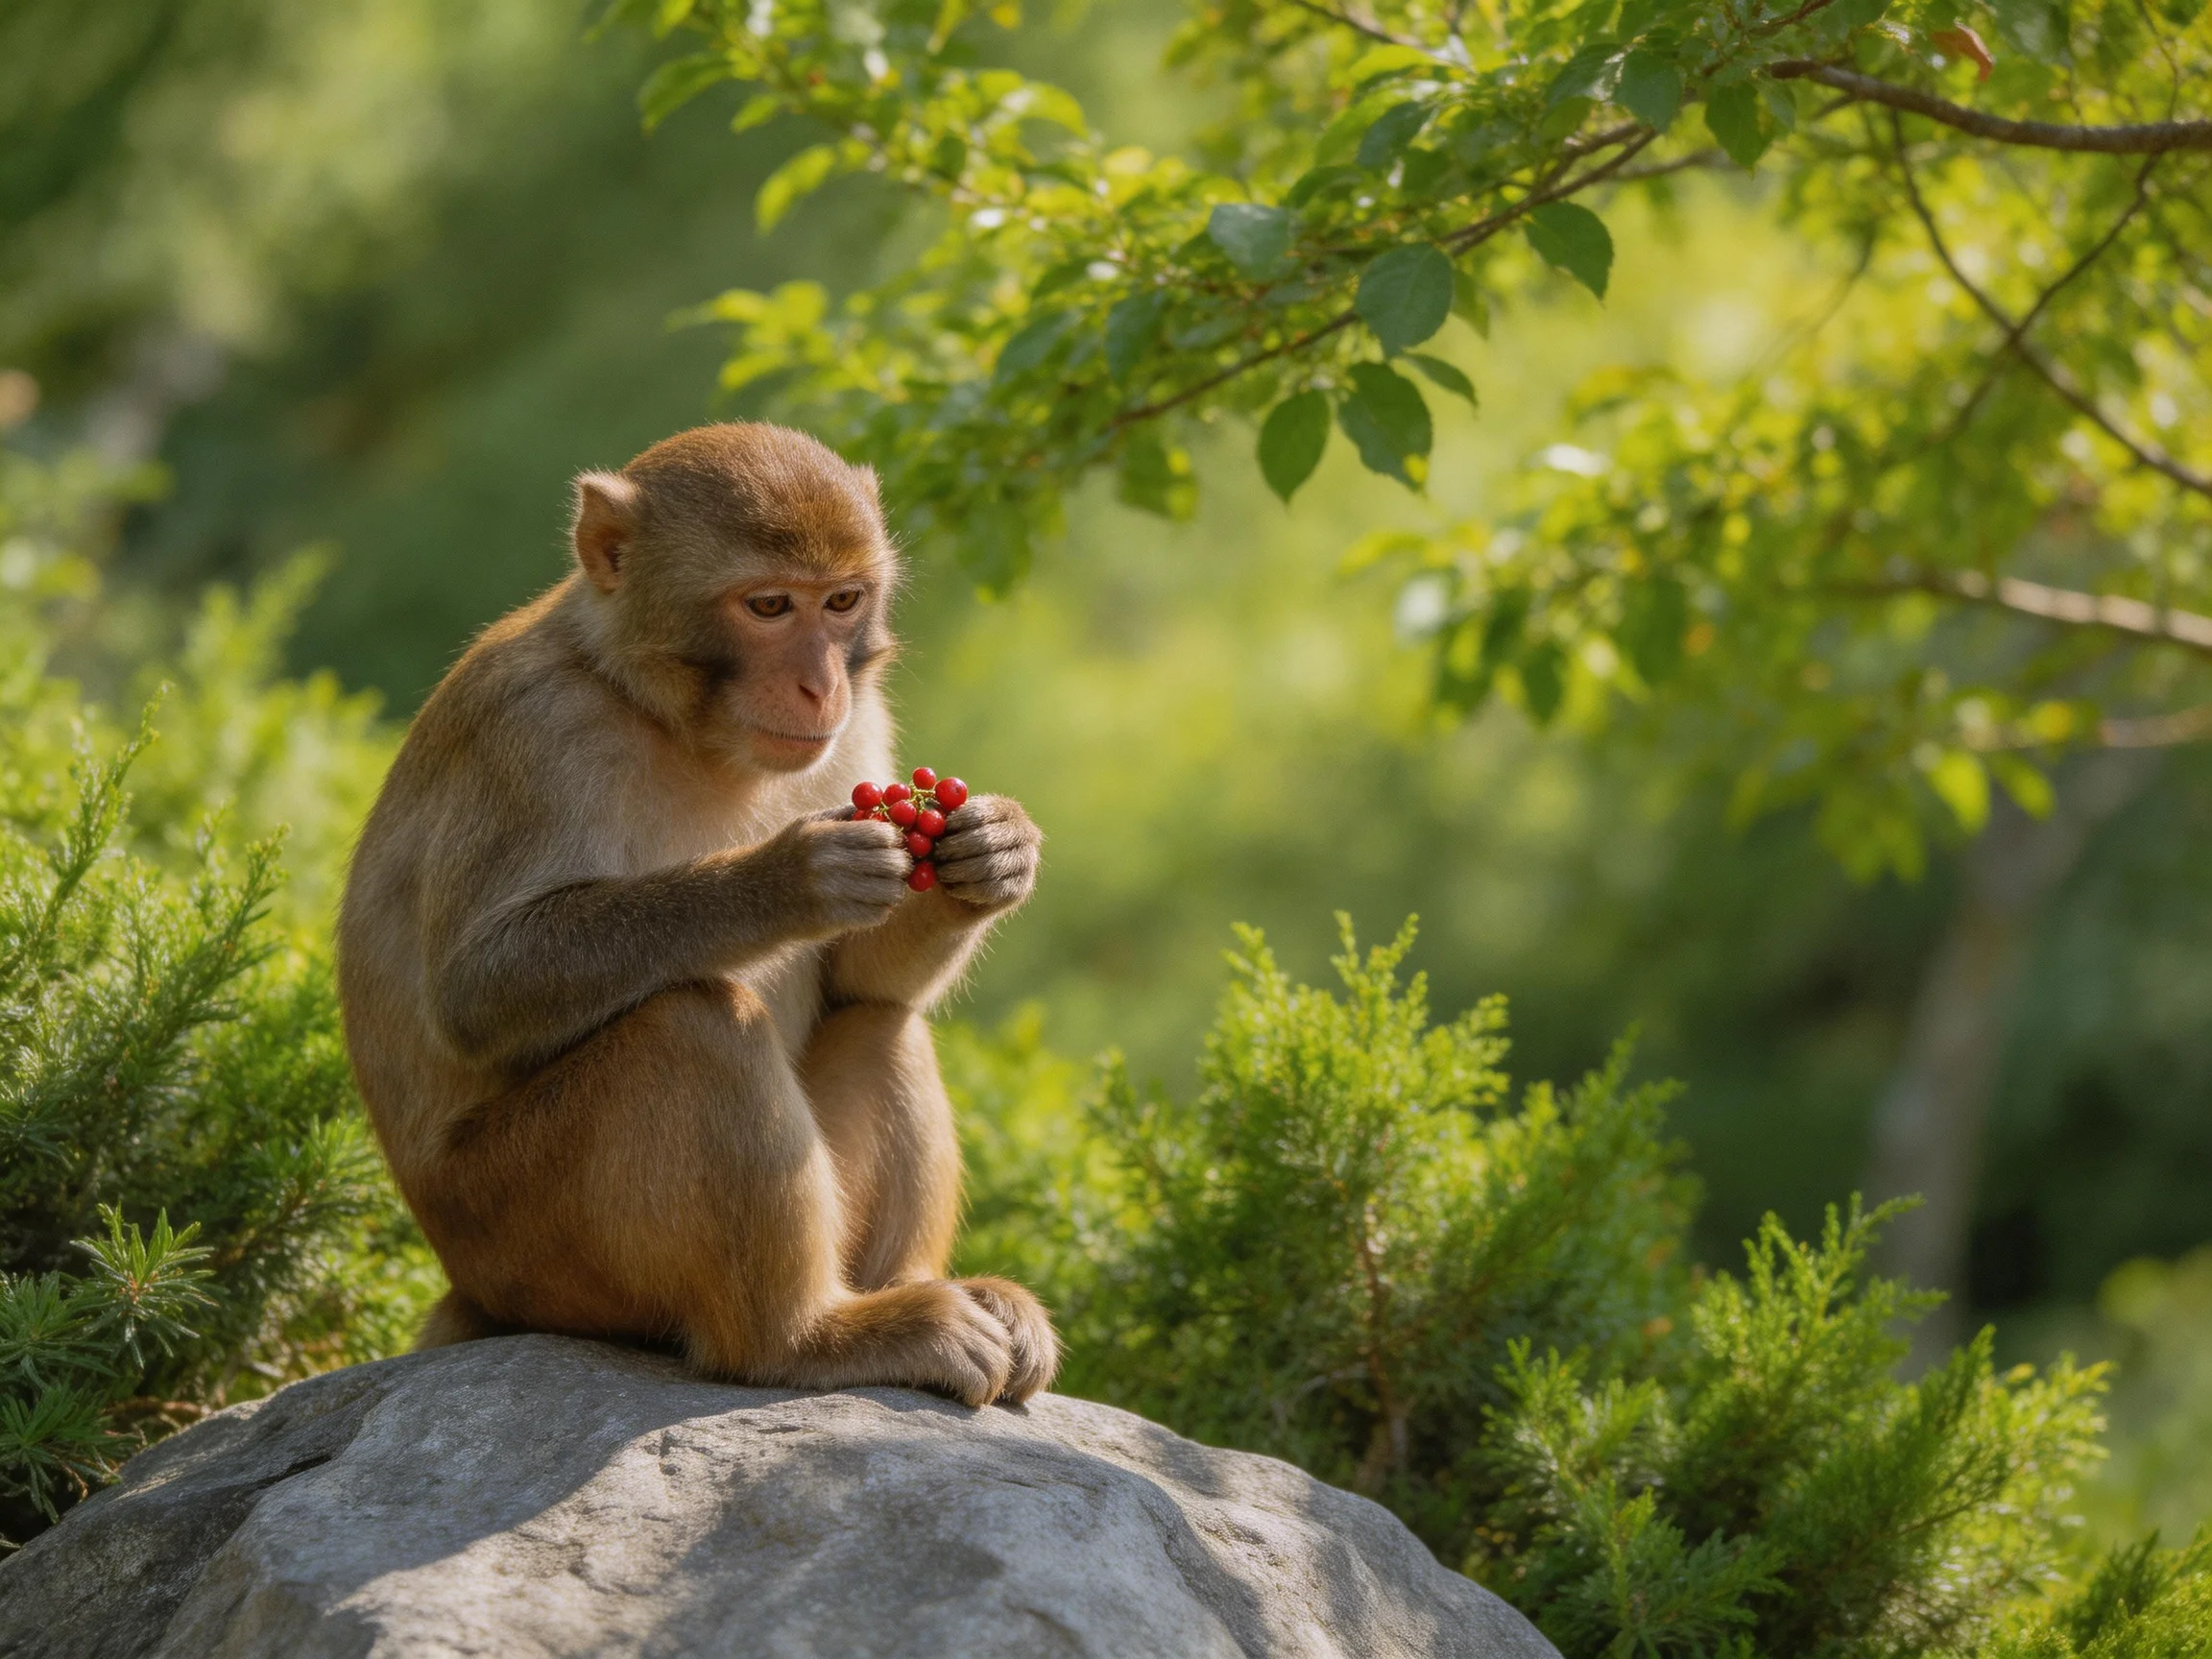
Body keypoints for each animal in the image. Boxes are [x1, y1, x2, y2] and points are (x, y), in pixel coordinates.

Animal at [335, 422, 1055, 1408]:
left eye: (841, 601)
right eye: (768, 607)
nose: (820, 686)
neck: (662, 712)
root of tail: (466, 1284)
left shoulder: (863, 722)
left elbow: (860, 978)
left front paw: (993, 854)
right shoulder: (527, 727)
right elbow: (477, 991)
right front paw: (786, 880)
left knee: (882, 1020)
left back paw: (917, 1294)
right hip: (521, 1236)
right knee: (693, 1026)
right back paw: (803, 1339)